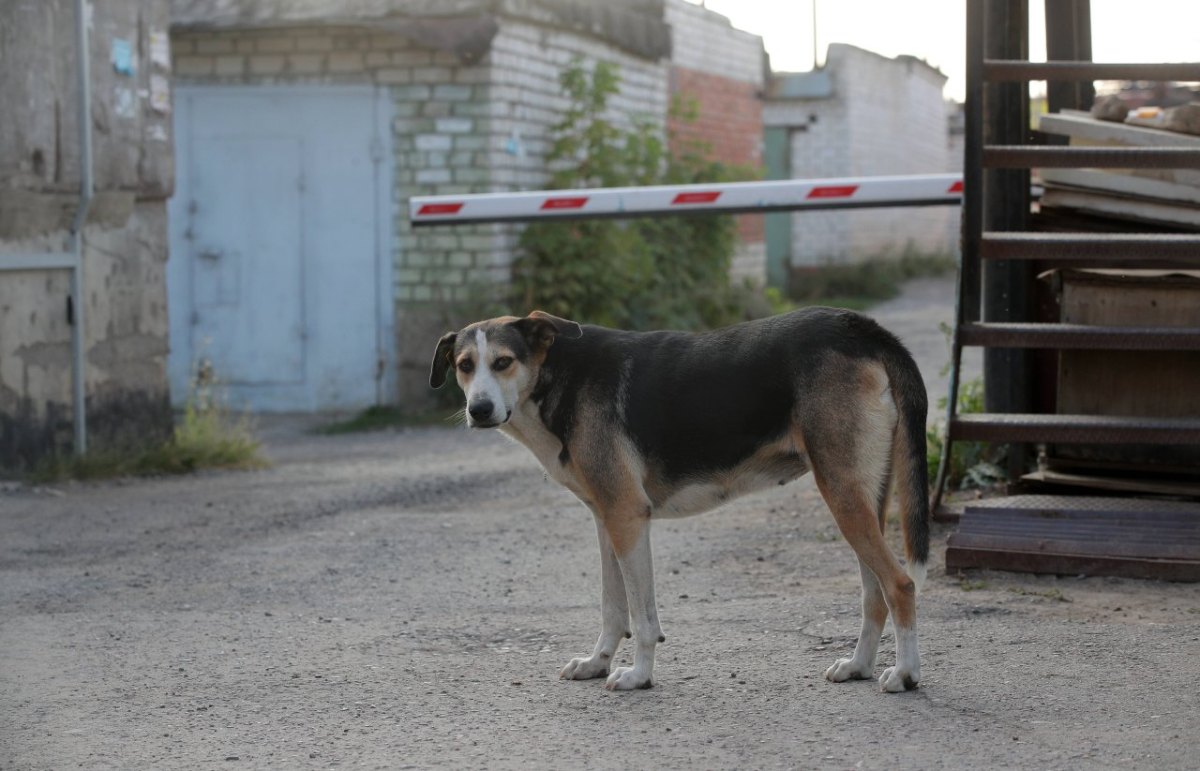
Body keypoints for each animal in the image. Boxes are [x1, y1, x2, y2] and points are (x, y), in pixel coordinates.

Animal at [429, 306, 926, 691]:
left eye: (504, 362)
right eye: (465, 365)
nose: (479, 410)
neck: (557, 377)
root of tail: (856, 325)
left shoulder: (628, 517)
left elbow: (643, 618)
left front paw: (638, 676)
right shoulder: (605, 520)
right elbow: (613, 610)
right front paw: (596, 664)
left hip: (842, 495)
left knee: (900, 584)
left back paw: (904, 674)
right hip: (862, 497)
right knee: (874, 593)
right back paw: (859, 666)